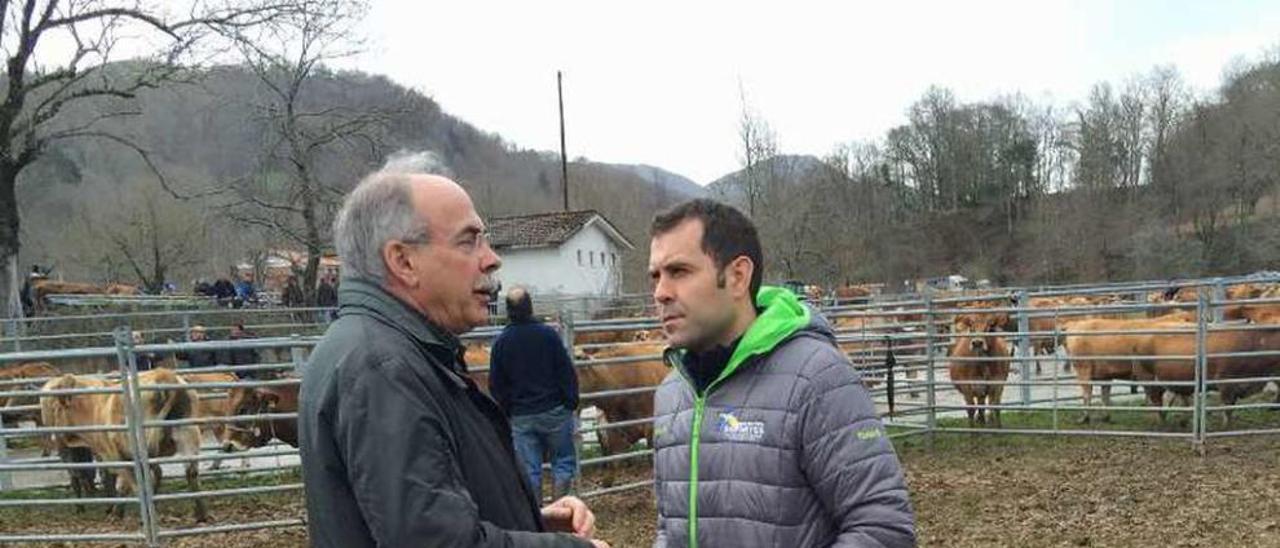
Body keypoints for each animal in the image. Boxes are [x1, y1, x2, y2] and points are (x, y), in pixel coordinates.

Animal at [40, 366, 207, 519]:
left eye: (57, 410)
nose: (54, 434)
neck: (95, 408)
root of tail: (164, 374)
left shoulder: (117, 456)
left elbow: (123, 484)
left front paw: (117, 512)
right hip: (188, 435)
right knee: (191, 473)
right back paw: (200, 514)